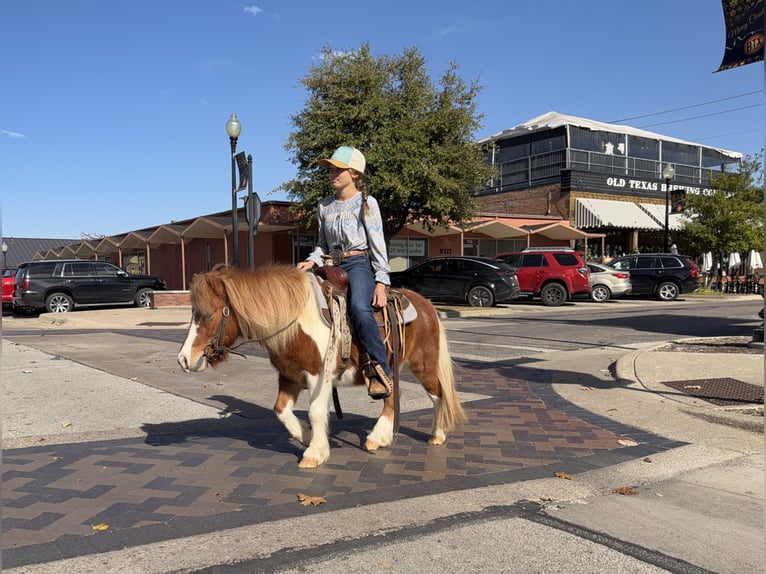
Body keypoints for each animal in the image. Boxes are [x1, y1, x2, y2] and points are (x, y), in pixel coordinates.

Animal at [176, 265, 466, 468]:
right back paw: (378, 438)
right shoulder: (289, 376)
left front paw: (314, 452)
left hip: (424, 365)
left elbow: (316, 411)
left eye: (208, 314)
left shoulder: (318, 376)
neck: (295, 321)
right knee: (393, 395)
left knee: (438, 395)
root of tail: (427, 305)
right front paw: (304, 436)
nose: (183, 359)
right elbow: (281, 410)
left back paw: (437, 434)